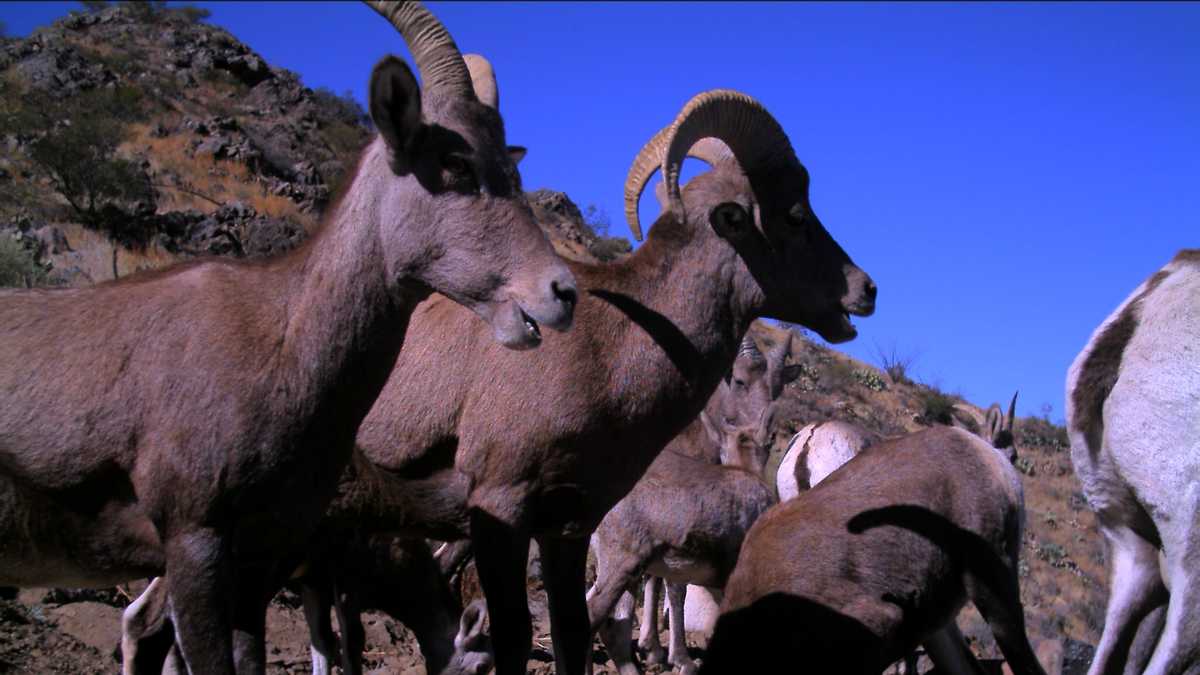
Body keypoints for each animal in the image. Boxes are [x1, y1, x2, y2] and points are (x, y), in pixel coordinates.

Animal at [0, 2, 576, 667]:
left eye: (511, 167)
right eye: (454, 163)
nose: (561, 293)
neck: (280, 342)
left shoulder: (258, 566)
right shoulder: (196, 542)